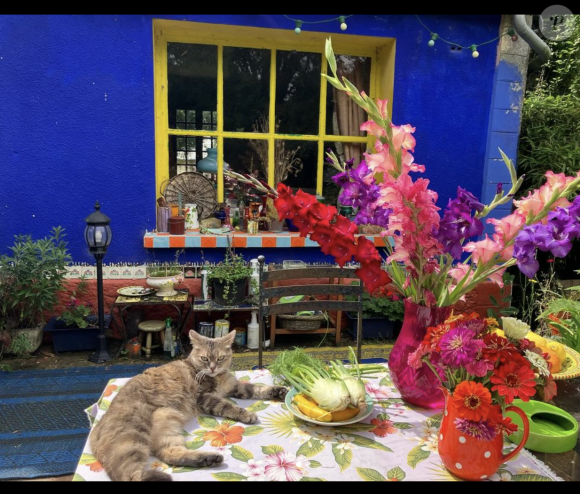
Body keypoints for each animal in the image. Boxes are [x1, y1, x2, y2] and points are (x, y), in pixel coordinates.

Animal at [90, 330, 288, 480]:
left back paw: (208, 459)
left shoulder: (235, 387)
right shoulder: (205, 398)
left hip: (167, 429)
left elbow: (257, 388)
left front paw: (278, 391)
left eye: (220, 358)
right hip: (131, 440)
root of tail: (96, 428)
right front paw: (247, 414)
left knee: (171, 454)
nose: (213, 368)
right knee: (129, 475)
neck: (216, 376)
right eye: (205, 359)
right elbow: (228, 406)